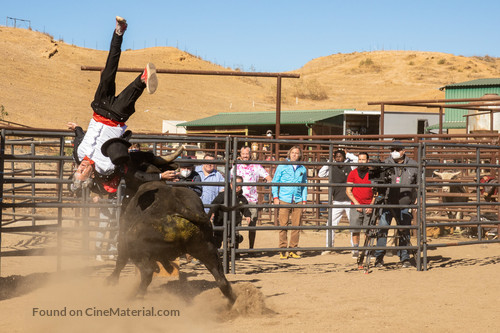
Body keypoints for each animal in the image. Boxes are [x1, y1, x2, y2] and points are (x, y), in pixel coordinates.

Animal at [105, 182, 234, 304]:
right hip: (206, 248)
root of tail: (178, 206)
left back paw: (134, 296)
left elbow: (121, 261)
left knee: (146, 272)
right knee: (221, 280)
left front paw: (111, 281)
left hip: (136, 249)